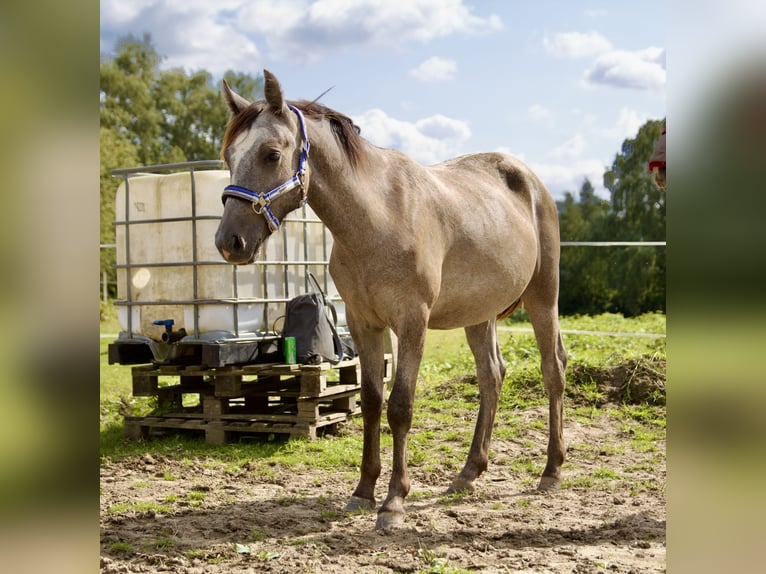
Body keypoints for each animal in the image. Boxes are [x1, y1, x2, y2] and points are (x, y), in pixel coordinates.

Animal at [213, 70, 568, 532]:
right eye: (228, 155)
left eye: (271, 154)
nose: (229, 242)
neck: (377, 218)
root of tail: (531, 181)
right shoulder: (363, 322)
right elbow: (370, 402)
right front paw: (364, 491)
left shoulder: (412, 322)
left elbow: (400, 406)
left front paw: (394, 501)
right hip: (479, 314)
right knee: (492, 377)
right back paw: (468, 473)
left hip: (544, 298)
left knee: (552, 370)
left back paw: (552, 470)